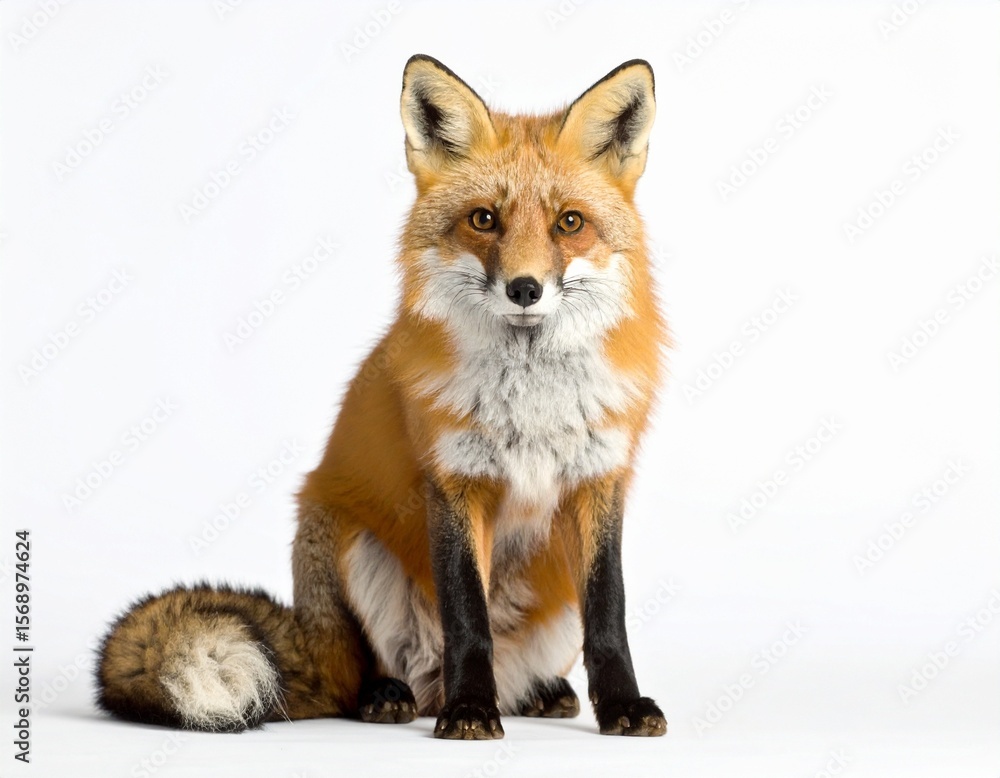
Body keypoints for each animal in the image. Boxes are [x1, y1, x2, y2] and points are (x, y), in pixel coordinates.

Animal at [96, 54, 668, 740]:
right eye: (484, 219)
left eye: (570, 223)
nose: (525, 288)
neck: (530, 404)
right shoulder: (453, 481)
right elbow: (467, 619)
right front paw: (468, 712)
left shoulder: (599, 479)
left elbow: (609, 618)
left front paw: (624, 706)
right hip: (341, 538)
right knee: (366, 673)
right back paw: (392, 695)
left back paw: (534, 693)